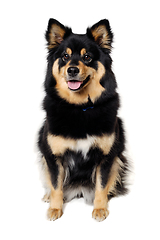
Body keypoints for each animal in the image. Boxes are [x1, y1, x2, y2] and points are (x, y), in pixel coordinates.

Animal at [38, 18, 129, 221]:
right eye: (65, 56)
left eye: (87, 57)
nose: (72, 70)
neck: (79, 108)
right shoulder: (53, 155)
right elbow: (56, 184)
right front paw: (55, 209)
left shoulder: (106, 156)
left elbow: (101, 185)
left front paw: (100, 209)